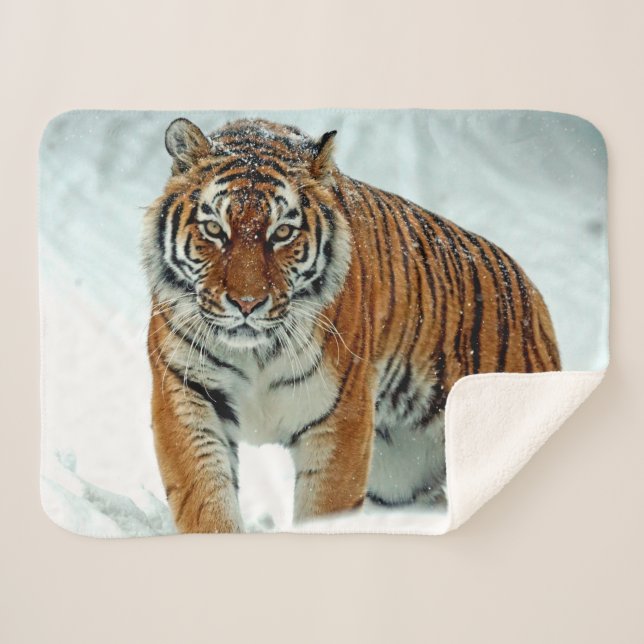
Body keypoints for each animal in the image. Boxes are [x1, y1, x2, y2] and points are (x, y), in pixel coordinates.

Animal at [142, 116, 561, 533]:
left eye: (282, 233)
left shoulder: (340, 417)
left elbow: (324, 511)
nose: (247, 304)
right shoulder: (186, 391)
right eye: (214, 229)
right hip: (401, 480)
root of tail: (532, 294)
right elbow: (205, 498)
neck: (256, 352)